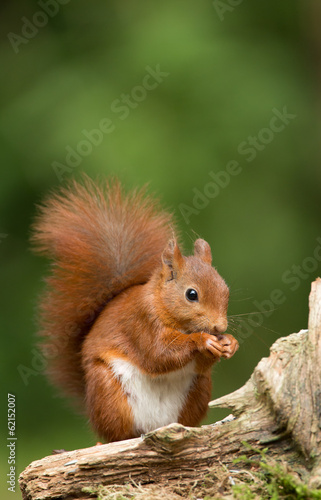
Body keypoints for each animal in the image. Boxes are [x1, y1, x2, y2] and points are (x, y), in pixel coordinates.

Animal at [31, 175, 238, 442]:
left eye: (226, 290)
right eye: (191, 294)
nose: (219, 327)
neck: (161, 304)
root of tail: (153, 427)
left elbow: (197, 364)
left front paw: (230, 342)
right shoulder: (141, 321)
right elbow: (158, 354)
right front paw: (203, 340)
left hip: (199, 390)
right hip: (108, 390)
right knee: (116, 434)